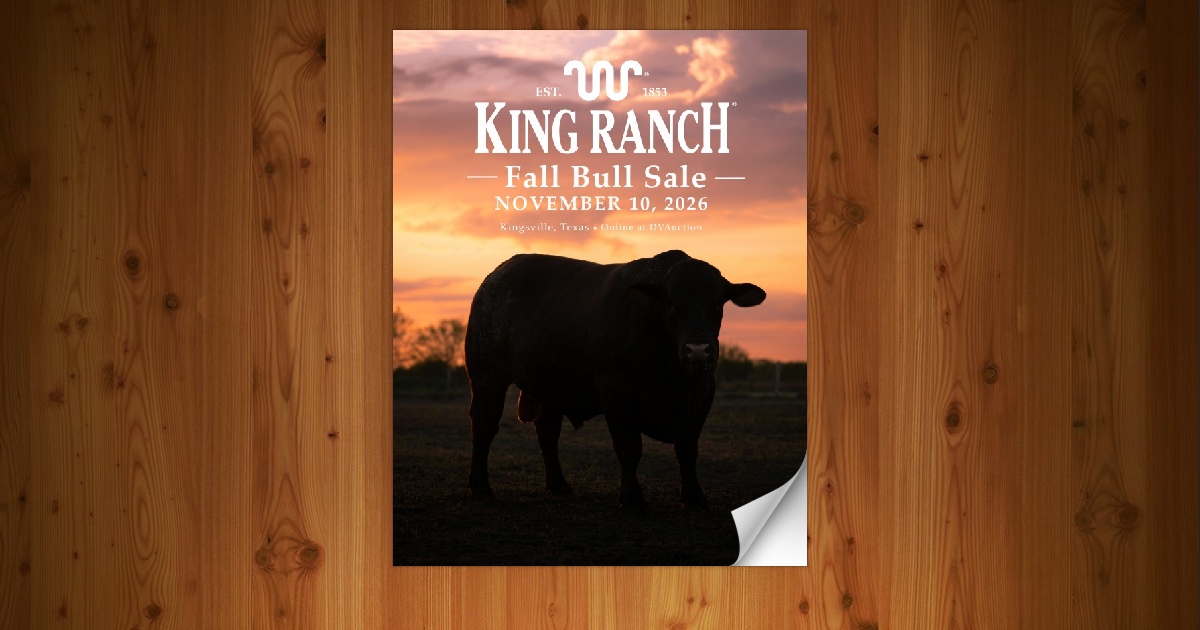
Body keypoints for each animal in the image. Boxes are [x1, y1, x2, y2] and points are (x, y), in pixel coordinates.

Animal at [464, 250, 767, 511]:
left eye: (717, 303)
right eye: (671, 303)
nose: (698, 349)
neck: (674, 377)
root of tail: (497, 276)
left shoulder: (702, 396)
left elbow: (687, 450)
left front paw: (694, 497)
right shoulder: (617, 393)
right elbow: (629, 449)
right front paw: (632, 499)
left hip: (552, 387)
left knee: (547, 432)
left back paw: (559, 485)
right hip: (486, 377)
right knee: (484, 425)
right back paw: (481, 488)